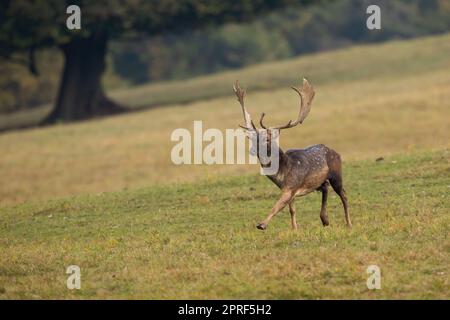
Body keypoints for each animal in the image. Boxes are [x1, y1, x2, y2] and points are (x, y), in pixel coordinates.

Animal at [234, 78, 354, 230]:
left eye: (267, 139)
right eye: (253, 139)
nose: (252, 150)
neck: (282, 173)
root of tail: (336, 152)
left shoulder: (291, 186)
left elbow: (277, 206)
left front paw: (262, 224)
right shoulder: (288, 189)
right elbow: (292, 209)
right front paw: (294, 228)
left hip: (336, 175)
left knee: (344, 195)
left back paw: (348, 223)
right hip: (321, 181)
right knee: (325, 188)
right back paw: (325, 219)